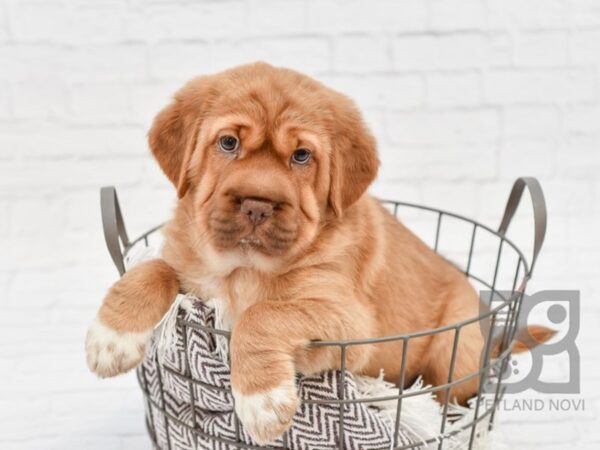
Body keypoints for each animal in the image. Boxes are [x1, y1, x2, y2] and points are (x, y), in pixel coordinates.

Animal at [85, 62, 552, 442]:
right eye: (228, 143)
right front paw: (111, 337)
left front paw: (262, 400)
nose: (257, 205)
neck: (243, 269)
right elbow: (153, 269)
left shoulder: (347, 320)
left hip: (454, 352)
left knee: (456, 399)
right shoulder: (191, 276)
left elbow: (264, 315)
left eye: (301, 155)